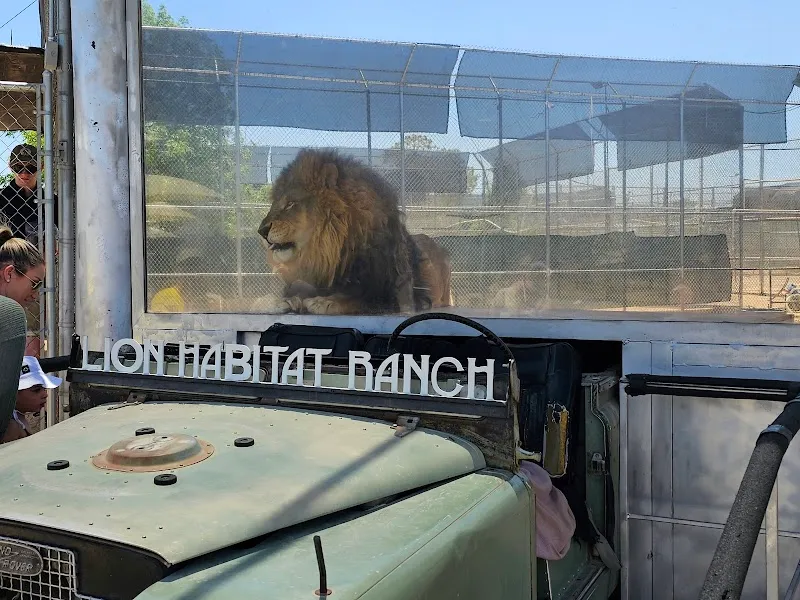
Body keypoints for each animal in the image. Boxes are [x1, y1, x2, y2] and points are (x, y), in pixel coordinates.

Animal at [257, 148, 453, 315]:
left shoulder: (399, 296)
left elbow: (359, 298)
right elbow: (298, 288)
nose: (261, 231)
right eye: (275, 203)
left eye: (290, 203)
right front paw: (279, 301)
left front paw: (325, 302)